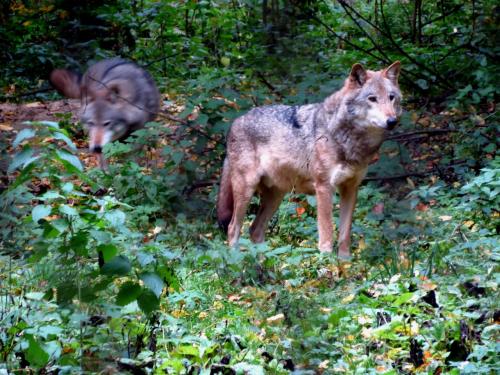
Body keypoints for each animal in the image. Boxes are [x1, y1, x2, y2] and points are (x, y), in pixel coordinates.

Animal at [218, 62, 402, 262]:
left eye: (391, 97)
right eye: (372, 99)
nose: (392, 121)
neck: (347, 139)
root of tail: (235, 121)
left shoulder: (351, 188)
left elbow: (345, 233)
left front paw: (345, 263)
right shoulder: (324, 188)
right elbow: (327, 232)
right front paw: (328, 264)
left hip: (276, 196)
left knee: (255, 230)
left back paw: (264, 262)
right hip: (246, 190)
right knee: (233, 228)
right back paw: (237, 262)